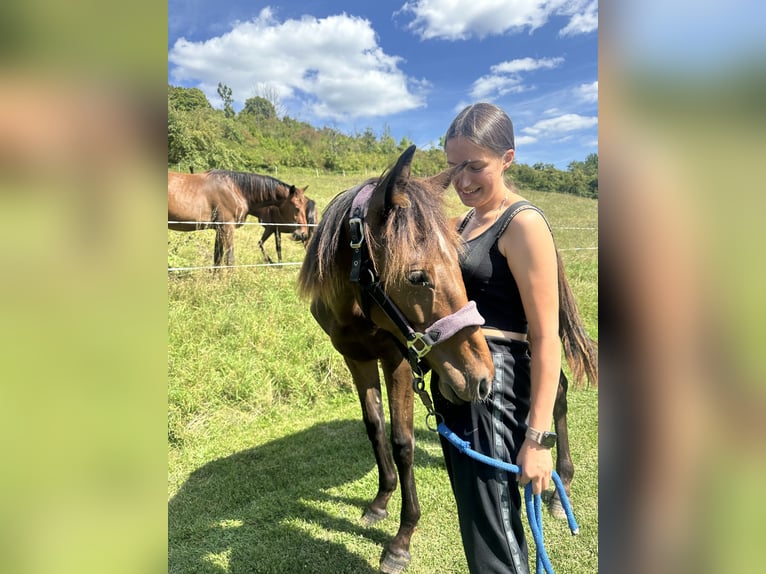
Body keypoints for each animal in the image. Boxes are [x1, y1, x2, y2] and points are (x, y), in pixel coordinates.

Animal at [168, 169, 308, 270]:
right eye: (297, 208)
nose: (303, 234)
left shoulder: (219, 230)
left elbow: (217, 259)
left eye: (306, 206)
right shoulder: (227, 228)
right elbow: (229, 260)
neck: (235, 189)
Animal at [298, 146, 495, 573]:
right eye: (418, 277)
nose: (482, 379)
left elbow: (403, 441)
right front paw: (380, 500)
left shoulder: (400, 361)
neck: (357, 308)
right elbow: (375, 427)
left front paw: (402, 539)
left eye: (458, 265)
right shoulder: (356, 359)